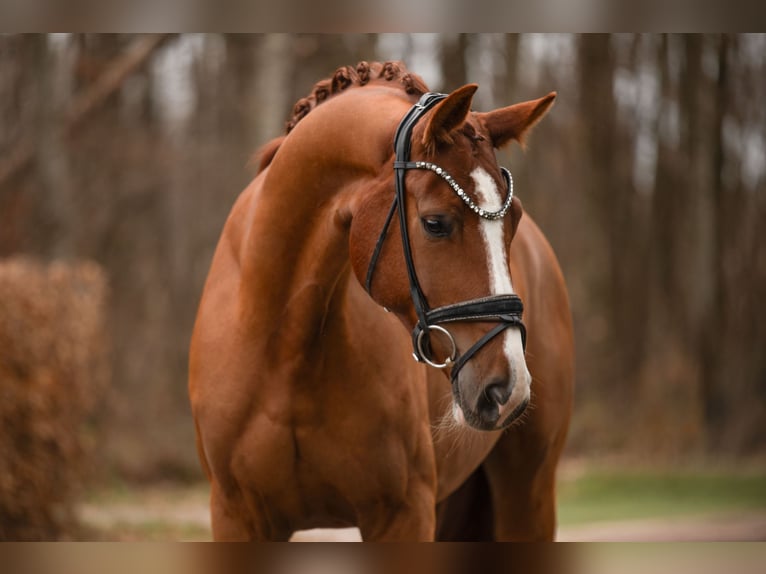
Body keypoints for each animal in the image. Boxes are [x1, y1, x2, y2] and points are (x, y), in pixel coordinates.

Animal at [188, 61, 574, 541]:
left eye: (514, 218)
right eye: (435, 223)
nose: (508, 387)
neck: (284, 350)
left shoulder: (403, 513)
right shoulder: (236, 516)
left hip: (528, 492)